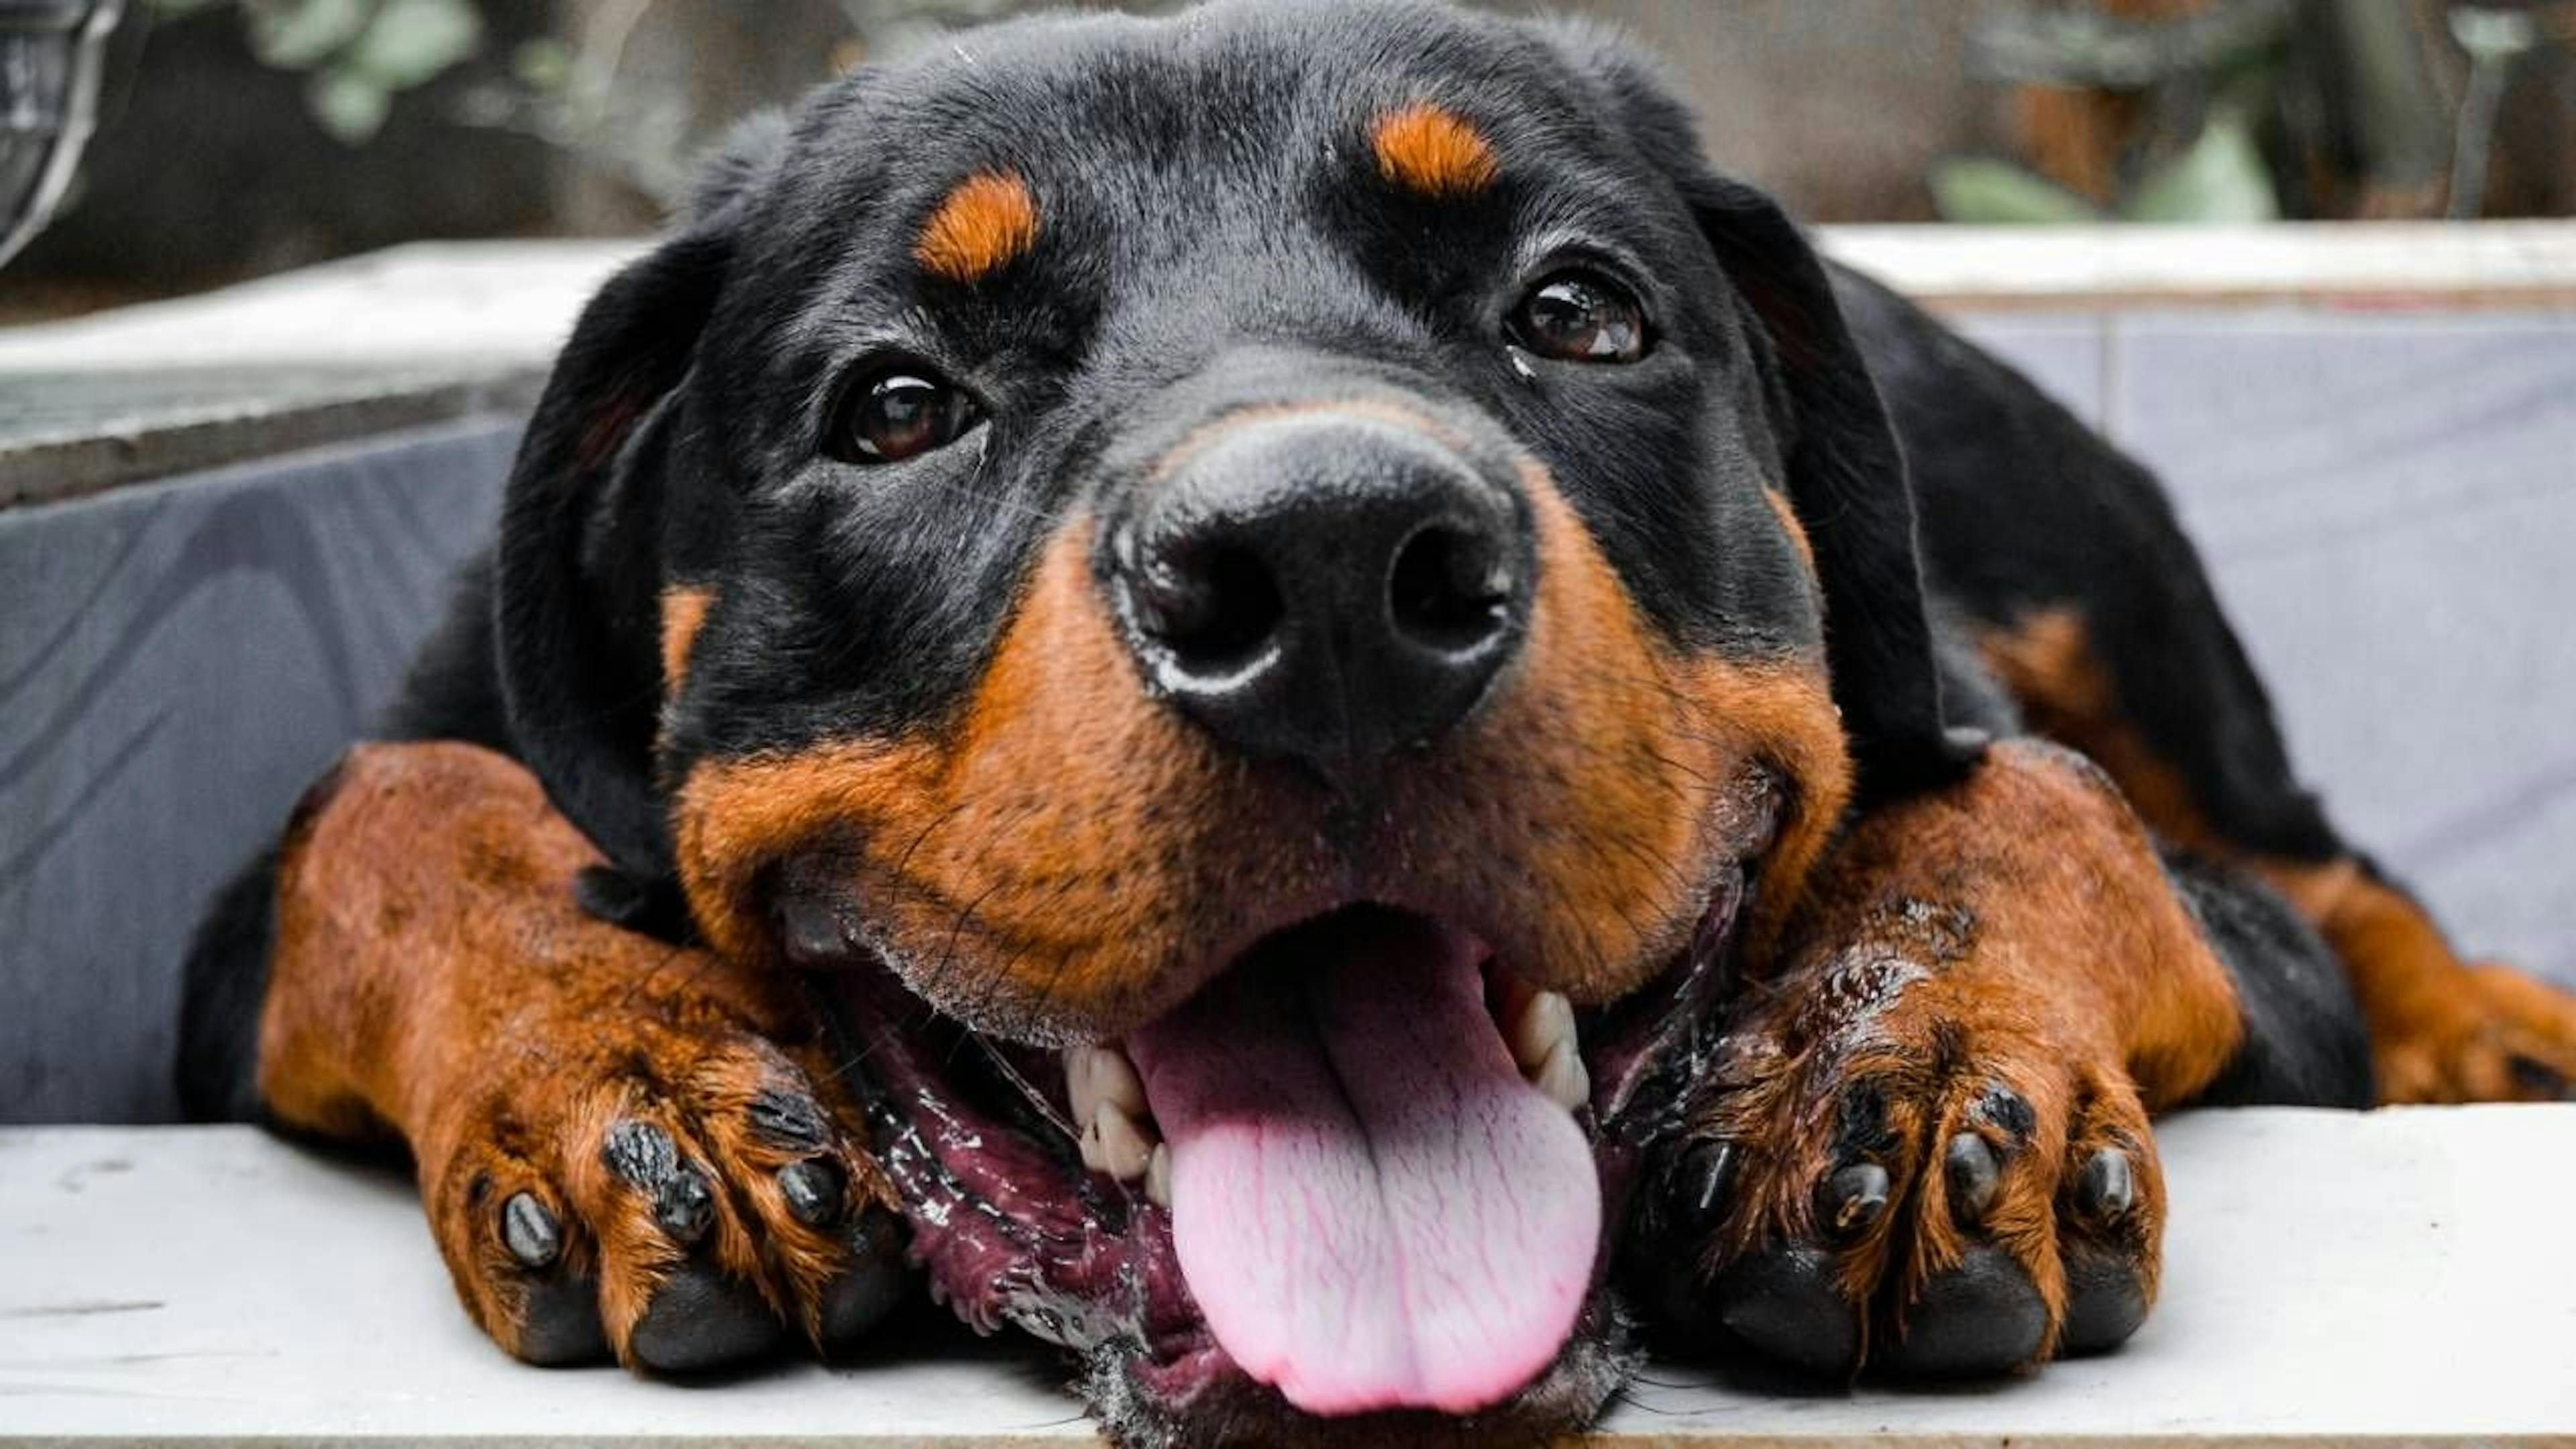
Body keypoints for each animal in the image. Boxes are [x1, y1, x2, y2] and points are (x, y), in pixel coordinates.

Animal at [171, 5, 2576, 1433]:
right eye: (897, 405)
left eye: (1579, 312)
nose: (1327, 571)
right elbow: (390, 808)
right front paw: (623, 1054)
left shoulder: (2168, 876)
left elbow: (2042, 806)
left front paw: (1900, 1058)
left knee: (2311, 839)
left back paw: (2493, 1023)